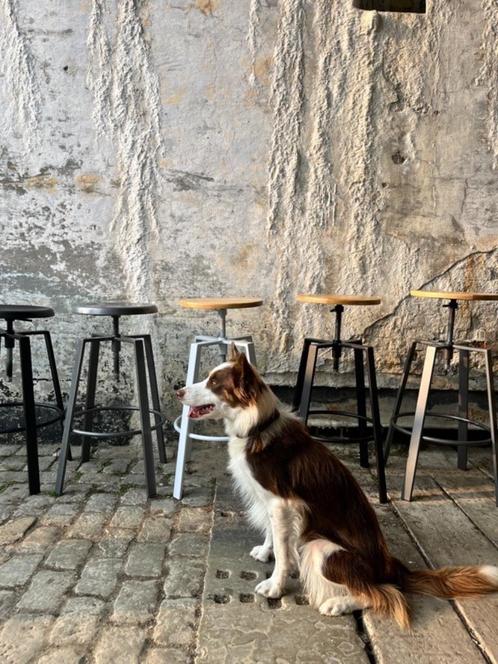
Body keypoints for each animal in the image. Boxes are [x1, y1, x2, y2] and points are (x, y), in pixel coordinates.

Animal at [178, 348, 498, 628]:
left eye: (214, 383)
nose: (178, 391)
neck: (258, 424)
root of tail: (390, 566)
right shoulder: (270, 502)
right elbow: (272, 535)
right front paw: (266, 551)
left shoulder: (281, 503)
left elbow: (283, 550)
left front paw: (275, 586)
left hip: (322, 548)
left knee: (384, 594)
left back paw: (339, 603)